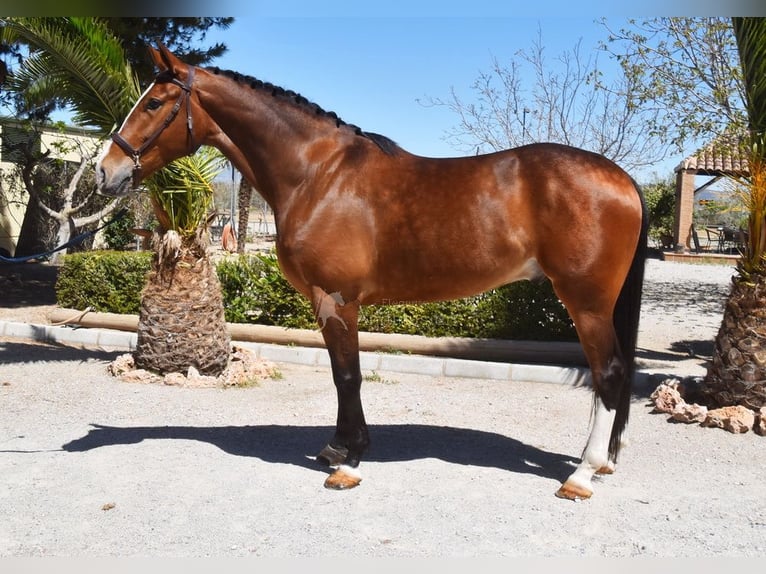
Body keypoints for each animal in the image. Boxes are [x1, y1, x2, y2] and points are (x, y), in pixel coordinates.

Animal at [94, 45, 648, 502]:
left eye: (153, 103)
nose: (105, 170)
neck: (317, 175)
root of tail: (621, 178)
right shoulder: (326, 301)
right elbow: (342, 376)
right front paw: (337, 448)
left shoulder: (339, 298)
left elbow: (349, 374)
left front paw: (351, 461)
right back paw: (602, 465)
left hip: (586, 302)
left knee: (608, 373)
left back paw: (582, 474)